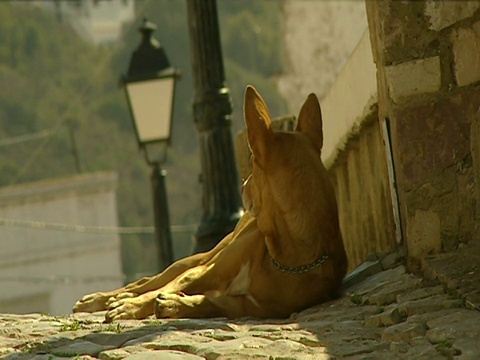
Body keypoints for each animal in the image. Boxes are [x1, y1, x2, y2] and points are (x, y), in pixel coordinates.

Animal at [73, 85, 346, 320]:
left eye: (252, 162)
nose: (242, 186)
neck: (286, 257)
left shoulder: (241, 306)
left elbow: (206, 303)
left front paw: (174, 305)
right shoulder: (203, 272)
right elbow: (162, 290)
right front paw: (132, 306)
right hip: (199, 258)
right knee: (146, 282)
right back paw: (102, 299)